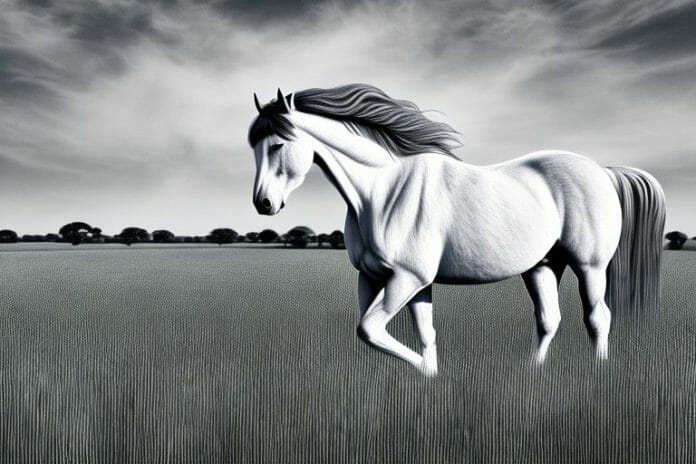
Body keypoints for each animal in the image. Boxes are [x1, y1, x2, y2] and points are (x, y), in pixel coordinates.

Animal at [247, 84, 666, 377]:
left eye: (279, 144)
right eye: (254, 147)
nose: (263, 204)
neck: (382, 191)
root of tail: (602, 171)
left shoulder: (407, 278)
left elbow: (369, 330)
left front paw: (426, 373)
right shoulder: (381, 278)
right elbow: (417, 333)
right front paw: (430, 378)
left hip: (590, 267)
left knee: (598, 318)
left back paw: (598, 373)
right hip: (542, 266)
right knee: (549, 320)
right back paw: (532, 374)